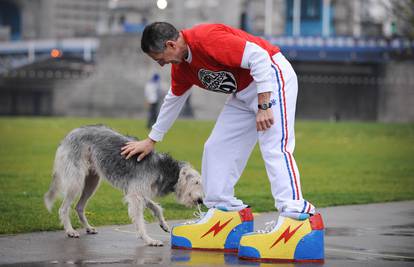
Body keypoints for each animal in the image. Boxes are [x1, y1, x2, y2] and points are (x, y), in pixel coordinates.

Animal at [45, 125, 204, 247]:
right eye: (196, 182)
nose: (201, 201)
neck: (163, 168)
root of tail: (68, 136)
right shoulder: (136, 195)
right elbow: (140, 221)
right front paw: (149, 240)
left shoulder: (136, 191)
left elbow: (156, 207)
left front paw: (163, 224)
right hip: (76, 182)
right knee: (63, 208)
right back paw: (70, 231)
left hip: (92, 182)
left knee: (79, 207)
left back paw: (88, 228)